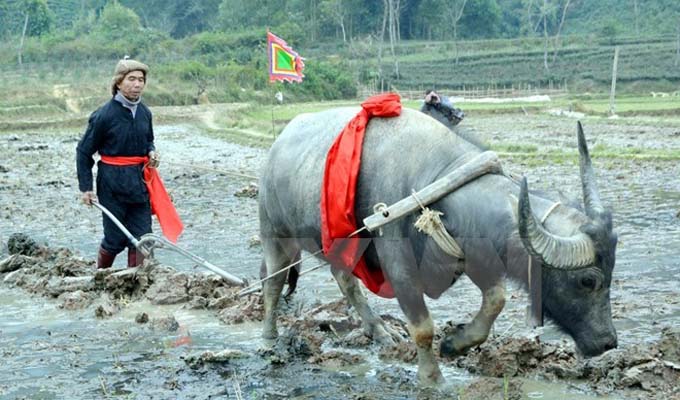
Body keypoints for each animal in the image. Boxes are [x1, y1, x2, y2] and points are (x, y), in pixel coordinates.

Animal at [258, 107, 620, 384]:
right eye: (588, 280)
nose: (608, 343)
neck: (437, 182)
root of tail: (277, 144)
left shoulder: (473, 253)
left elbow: (496, 300)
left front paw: (456, 345)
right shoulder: (399, 266)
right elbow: (422, 328)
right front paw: (433, 378)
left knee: (345, 280)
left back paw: (380, 332)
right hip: (275, 235)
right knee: (273, 283)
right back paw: (268, 338)